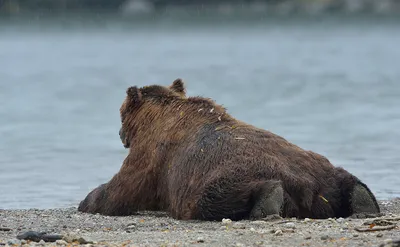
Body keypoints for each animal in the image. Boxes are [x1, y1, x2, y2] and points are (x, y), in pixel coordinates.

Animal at [79, 78, 382, 220]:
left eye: (120, 114)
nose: (120, 134)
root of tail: (305, 185)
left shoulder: (152, 158)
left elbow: (120, 190)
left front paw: (88, 200)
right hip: (321, 170)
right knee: (346, 179)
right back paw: (364, 201)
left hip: (219, 179)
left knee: (215, 198)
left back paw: (267, 201)